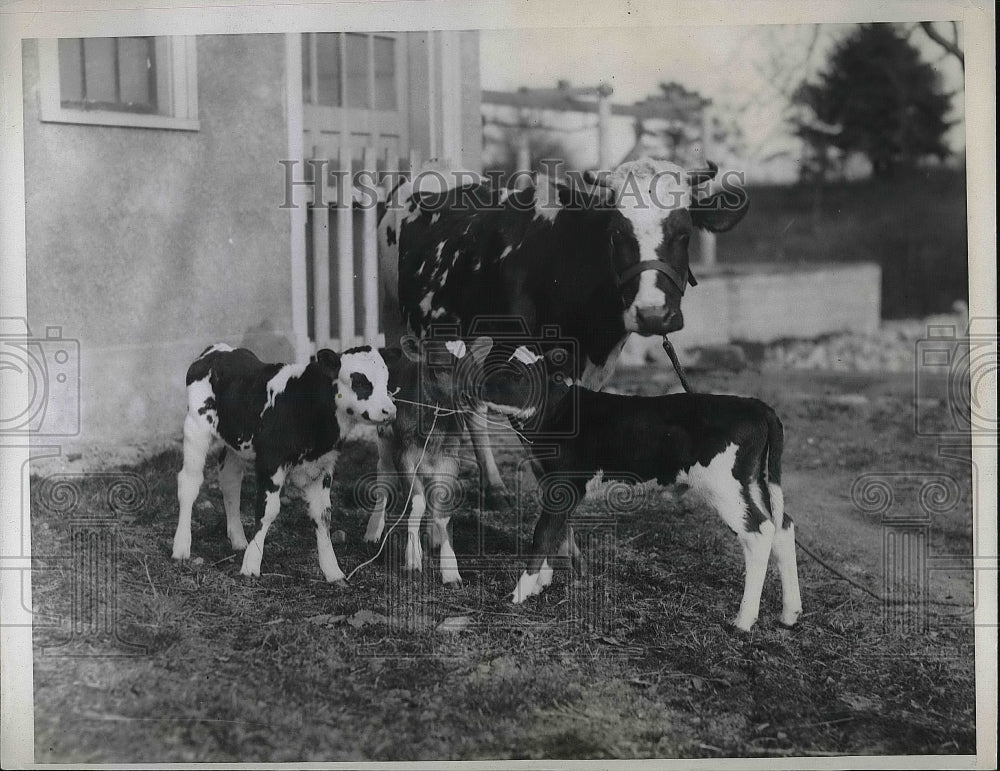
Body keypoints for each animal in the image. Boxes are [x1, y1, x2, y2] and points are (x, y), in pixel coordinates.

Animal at [172, 344, 394, 584]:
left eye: (386, 380)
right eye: (360, 381)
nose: (390, 410)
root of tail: (217, 350)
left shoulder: (322, 468)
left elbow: (323, 515)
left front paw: (333, 571)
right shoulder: (271, 462)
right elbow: (267, 511)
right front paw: (251, 565)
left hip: (235, 443)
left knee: (230, 482)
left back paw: (238, 540)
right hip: (196, 428)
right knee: (189, 483)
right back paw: (181, 547)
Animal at [480, 346, 800, 632]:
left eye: (517, 373)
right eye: (489, 362)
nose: (479, 386)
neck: (557, 412)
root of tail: (756, 406)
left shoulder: (564, 483)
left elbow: (543, 533)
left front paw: (519, 594)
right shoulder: (553, 484)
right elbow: (558, 531)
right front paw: (541, 583)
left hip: (725, 486)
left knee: (759, 532)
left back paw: (743, 621)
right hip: (752, 482)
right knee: (782, 525)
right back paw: (790, 614)